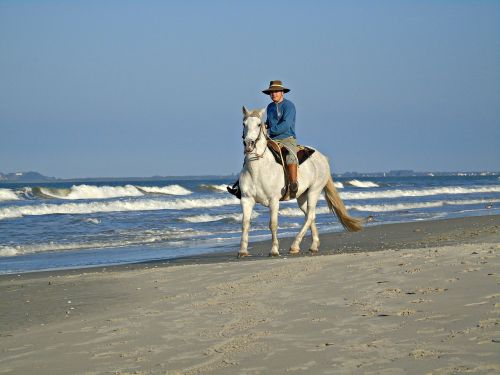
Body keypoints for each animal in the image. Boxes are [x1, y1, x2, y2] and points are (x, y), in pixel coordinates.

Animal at [239, 107, 364, 258]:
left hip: (314, 191)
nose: (249, 144)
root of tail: (323, 158)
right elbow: (245, 224)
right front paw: (242, 251)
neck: (257, 170)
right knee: (310, 216)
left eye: (258, 124)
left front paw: (274, 250)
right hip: (302, 197)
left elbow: (273, 224)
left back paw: (295, 246)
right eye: (244, 124)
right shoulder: (246, 199)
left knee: (310, 215)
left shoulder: (274, 200)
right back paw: (313, 246)